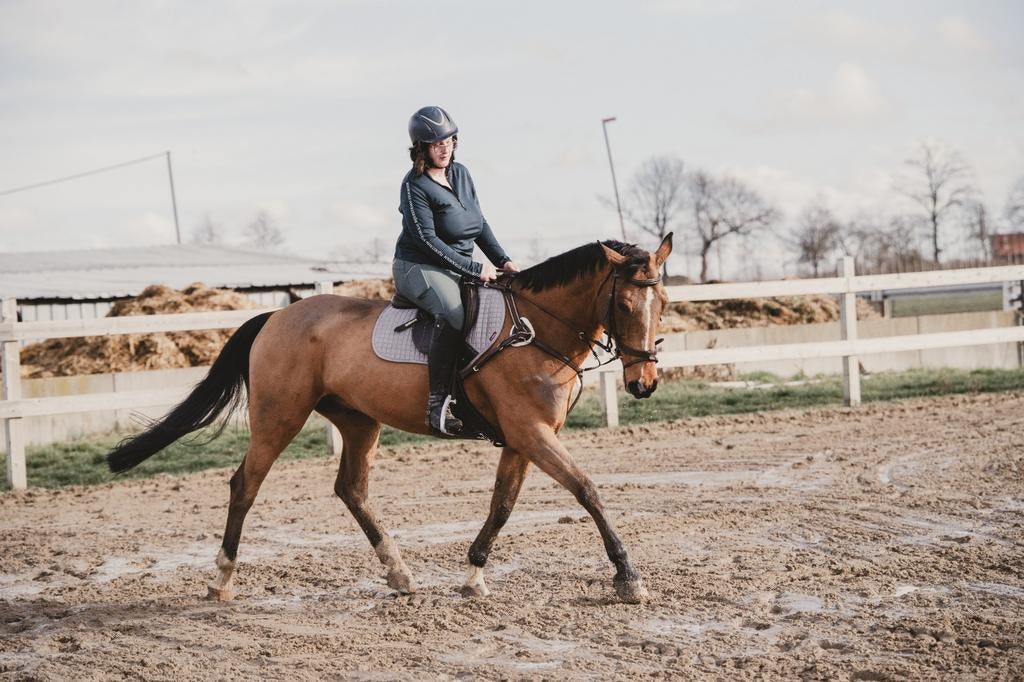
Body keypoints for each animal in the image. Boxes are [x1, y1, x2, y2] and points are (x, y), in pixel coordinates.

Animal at [106, 234, 673, 603]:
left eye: (663, 300)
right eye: (624, 304)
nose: (643, 383)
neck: (534, 331)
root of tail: (276, 315)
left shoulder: (523, 439)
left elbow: (503, 506)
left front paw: (473, 577)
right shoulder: (532, 435)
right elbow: (588, 491)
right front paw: (627, 577)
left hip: (359, 422)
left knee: (351, 489)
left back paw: (399, 573)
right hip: (278, 418)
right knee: (245, 484)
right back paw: (221, 580)